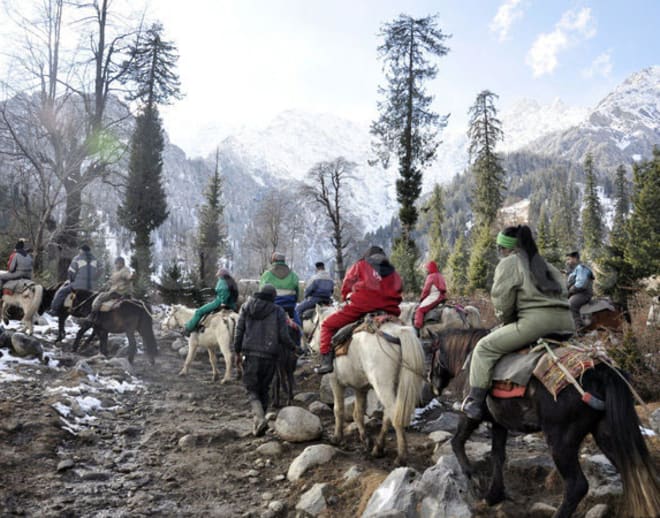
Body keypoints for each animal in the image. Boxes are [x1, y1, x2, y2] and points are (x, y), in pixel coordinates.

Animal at [310, 308, 426, 468]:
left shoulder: (335, 382)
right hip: (394, 386)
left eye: (316, 324)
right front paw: (365, 439)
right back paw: (378, 449)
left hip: (382, 386)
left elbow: (338, 410)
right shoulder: (361, 388)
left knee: (394, 415)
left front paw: (337, 437)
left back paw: (401, 457)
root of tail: (398, 332)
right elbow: (358, 413)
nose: (310, 346)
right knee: (388, 415)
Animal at [428, 332, 660, 516]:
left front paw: (472, 475)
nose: (434, 386)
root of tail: (602, 373)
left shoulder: (471, 415)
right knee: (633, 471)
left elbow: (458, 441)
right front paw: (494, 495)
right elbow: (497, 456)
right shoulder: (499, 424)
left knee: (577, 486)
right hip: (606, 434)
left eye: (431, 353)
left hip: (560, 441)